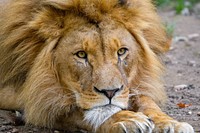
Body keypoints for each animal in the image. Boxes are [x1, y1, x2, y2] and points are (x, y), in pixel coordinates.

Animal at [0, 0, 194, 132]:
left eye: (121, 51)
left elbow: (146, 101)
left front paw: (169, 123)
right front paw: (125, 120)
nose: (110, 92)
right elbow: (78, 111)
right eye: (81, 54)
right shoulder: (31, 96)